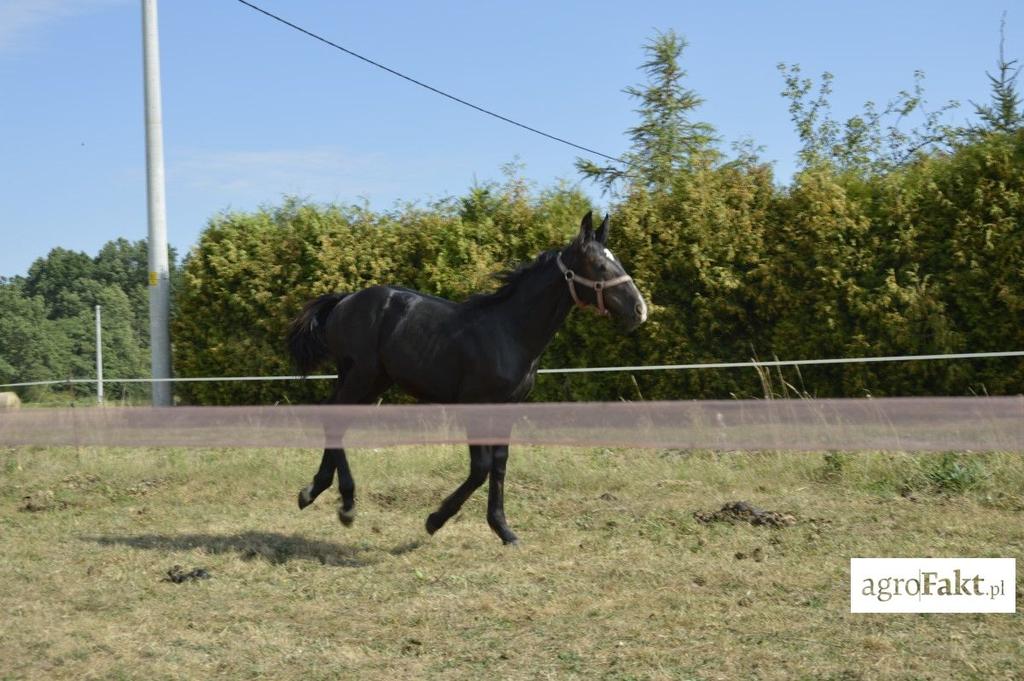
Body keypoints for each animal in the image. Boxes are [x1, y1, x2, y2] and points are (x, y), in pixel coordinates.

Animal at [286, 210, 647, 540]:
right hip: (363, 375)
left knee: (336, 419)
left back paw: (313, 492)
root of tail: (344, 300)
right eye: (599, 265)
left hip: (369, 380)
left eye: (616, 261)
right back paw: (346, 504)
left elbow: (500, 463)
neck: (509, 332)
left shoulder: (507, 407)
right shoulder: (475, 404)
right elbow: (481, 468)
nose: (639, 311)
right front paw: (435, 520)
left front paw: (503, 528)